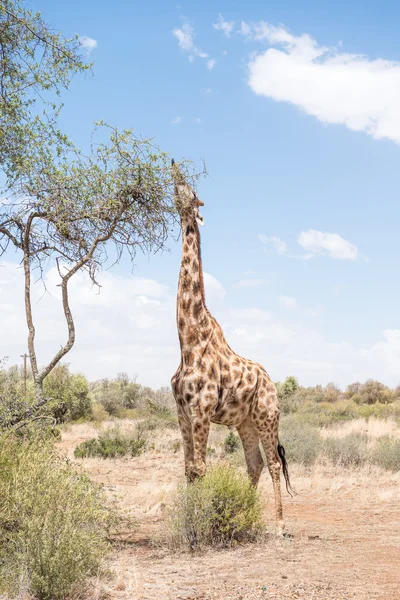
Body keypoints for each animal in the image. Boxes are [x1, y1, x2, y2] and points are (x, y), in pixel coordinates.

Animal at [170, 162, 292, 536]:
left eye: (191, 190)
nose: (173, 167)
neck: (188, 341)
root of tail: (271, 382)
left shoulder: (201, 410)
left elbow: (200, 469)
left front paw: (198, 527)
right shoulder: (182, 412)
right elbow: (189, 470)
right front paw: (193, 523)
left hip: (267, 417)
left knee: (273, 464)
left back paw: (279, 525)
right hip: (245, 423)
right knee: (254, 464)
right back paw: (242, 518)